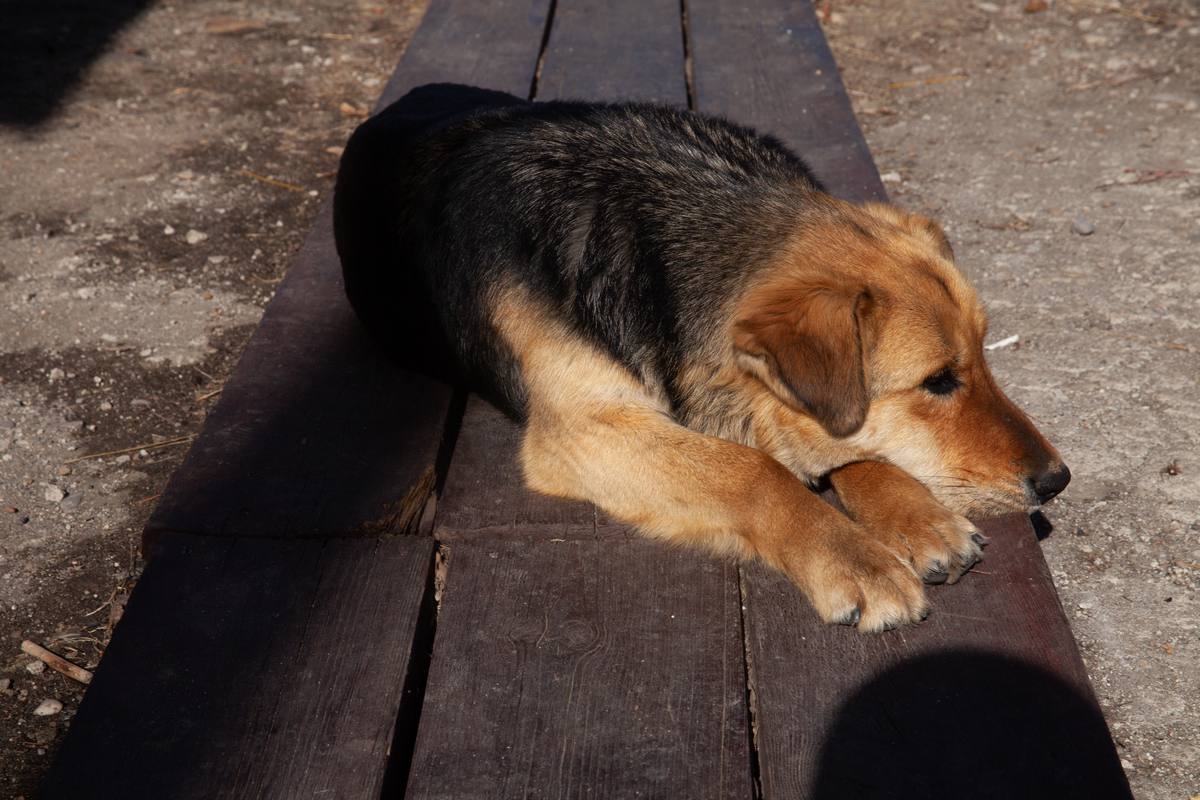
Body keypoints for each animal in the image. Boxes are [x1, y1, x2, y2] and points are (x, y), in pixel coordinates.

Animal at [336, 86, 1070, 633]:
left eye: (983, 358)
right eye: (937, 382)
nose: (1057, 480)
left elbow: (848, 444)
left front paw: (915, 514)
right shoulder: (586, 431)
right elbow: (752, 470)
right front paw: (854, 557)